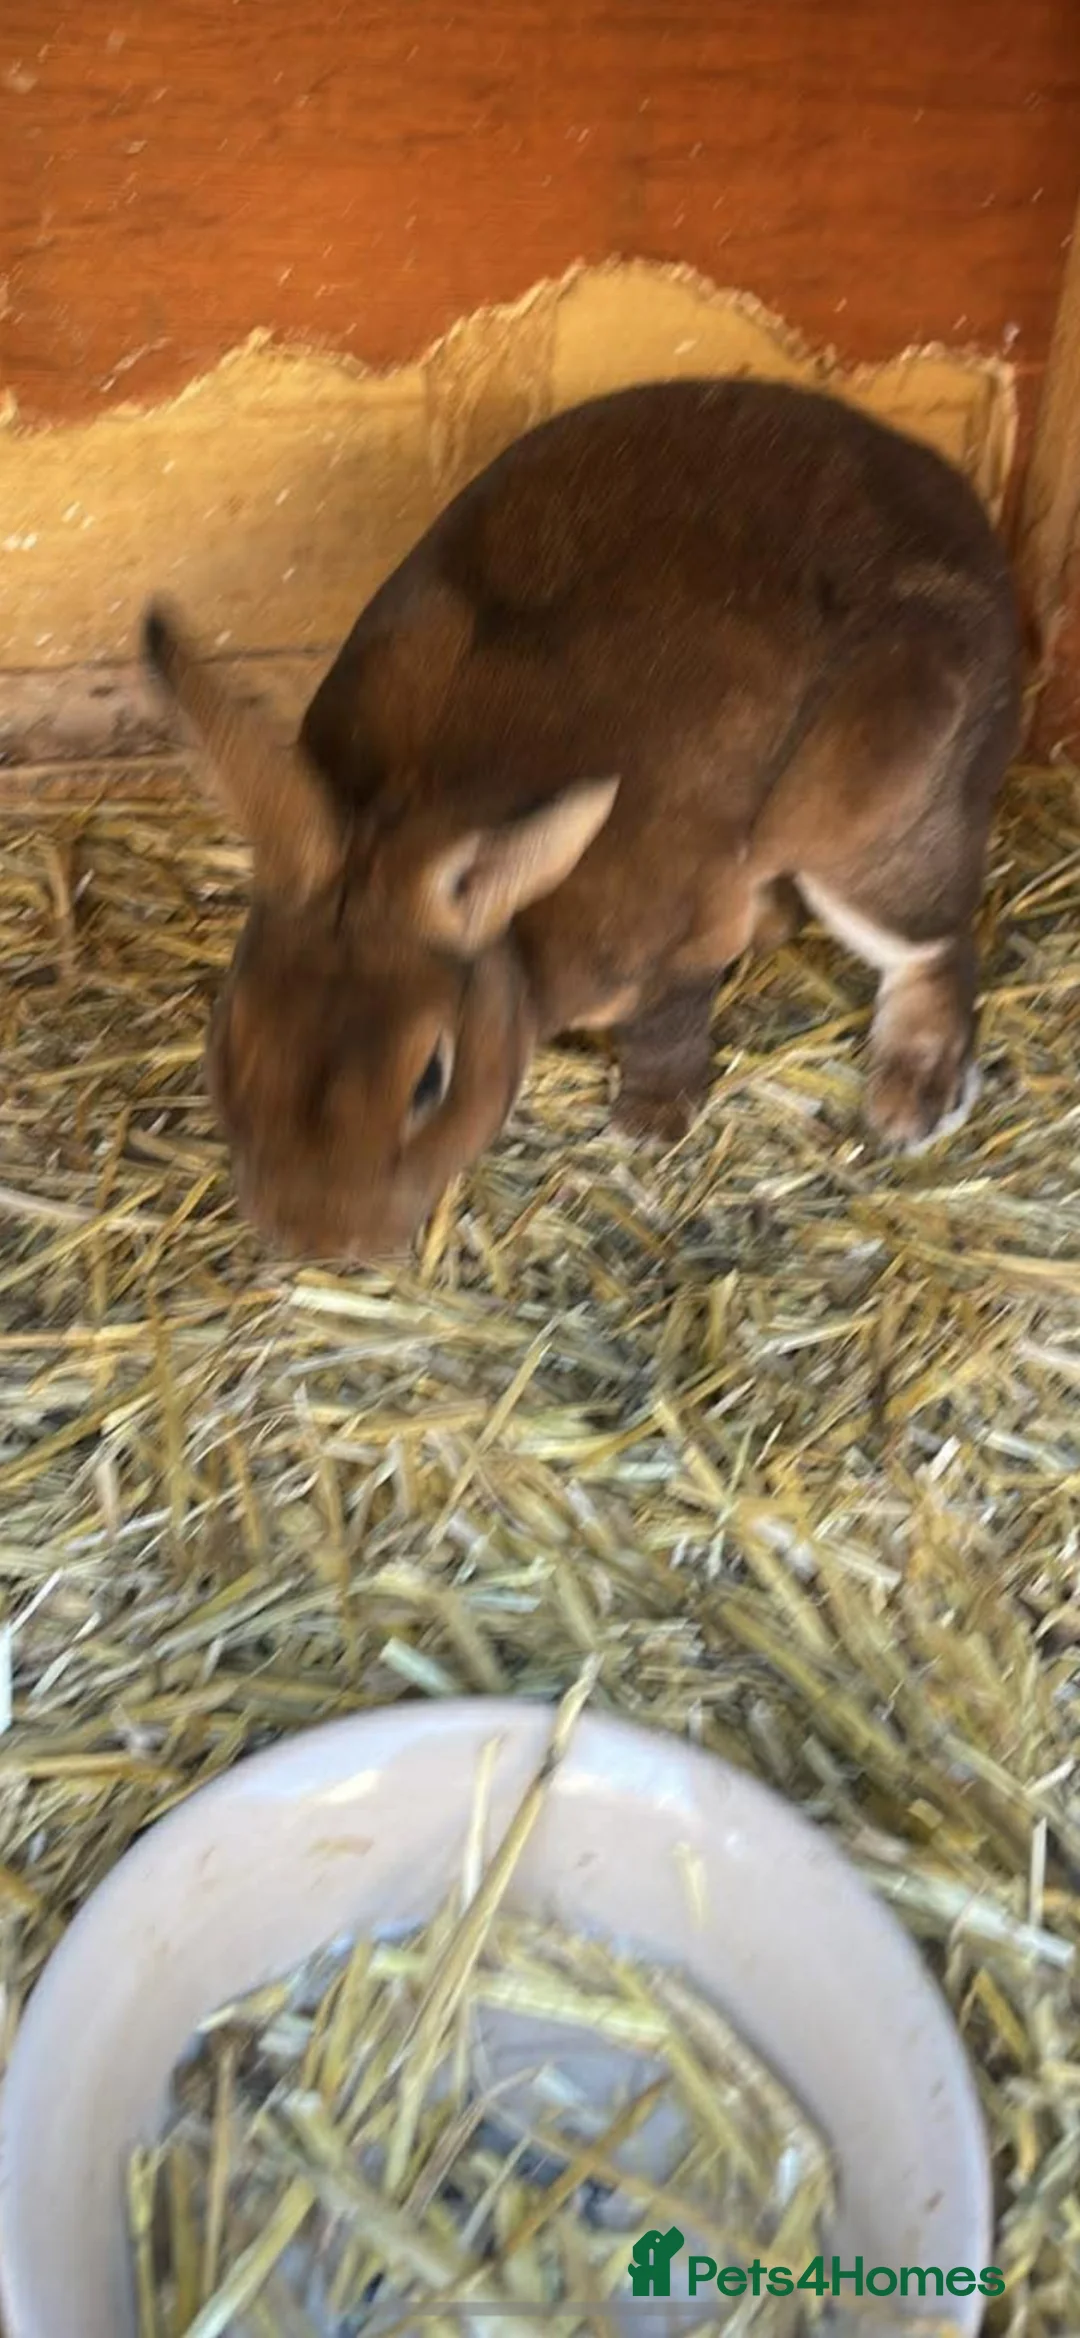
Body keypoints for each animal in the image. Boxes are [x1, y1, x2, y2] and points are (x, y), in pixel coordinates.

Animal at [143, 375, 1022, 1263]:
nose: (317, 1240)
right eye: (231, 1042)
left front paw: (649, 1121)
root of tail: (979, 537)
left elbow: (670, 1022)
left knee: (935, 945)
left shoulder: (684, 934)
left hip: (868, 814)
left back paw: (913, 1097)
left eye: (430, 1080)